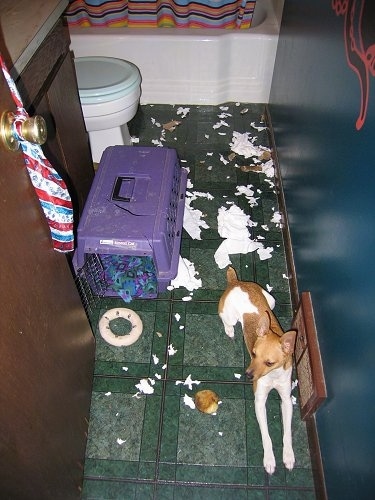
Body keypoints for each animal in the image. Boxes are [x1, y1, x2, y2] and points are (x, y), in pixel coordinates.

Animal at [219, 266, 298, 472]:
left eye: (269, 363)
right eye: (253, 354)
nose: (247, 375)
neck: (273, 376)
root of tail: (235, 281)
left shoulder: (286, 400)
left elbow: (287, 433)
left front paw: (288, 455)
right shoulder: (260, 401)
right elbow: (267, 436)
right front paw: (269, 459)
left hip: (271, 300)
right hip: (228, 314)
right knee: (226, 320)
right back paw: (229, 329)